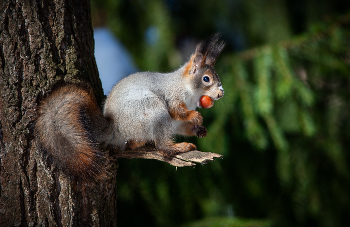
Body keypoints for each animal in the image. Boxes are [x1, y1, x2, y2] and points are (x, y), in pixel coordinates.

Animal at [35, 34, 224, 179]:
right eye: (206, 79)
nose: (221, 94)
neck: (188, 91)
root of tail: (115, 128)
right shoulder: (172, 96)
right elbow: (177, 111)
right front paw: (194, 116)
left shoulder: (177, 123)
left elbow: (182, 127)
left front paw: (200, 130)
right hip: (154, 110)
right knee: (162, 147)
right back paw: (178, 147)